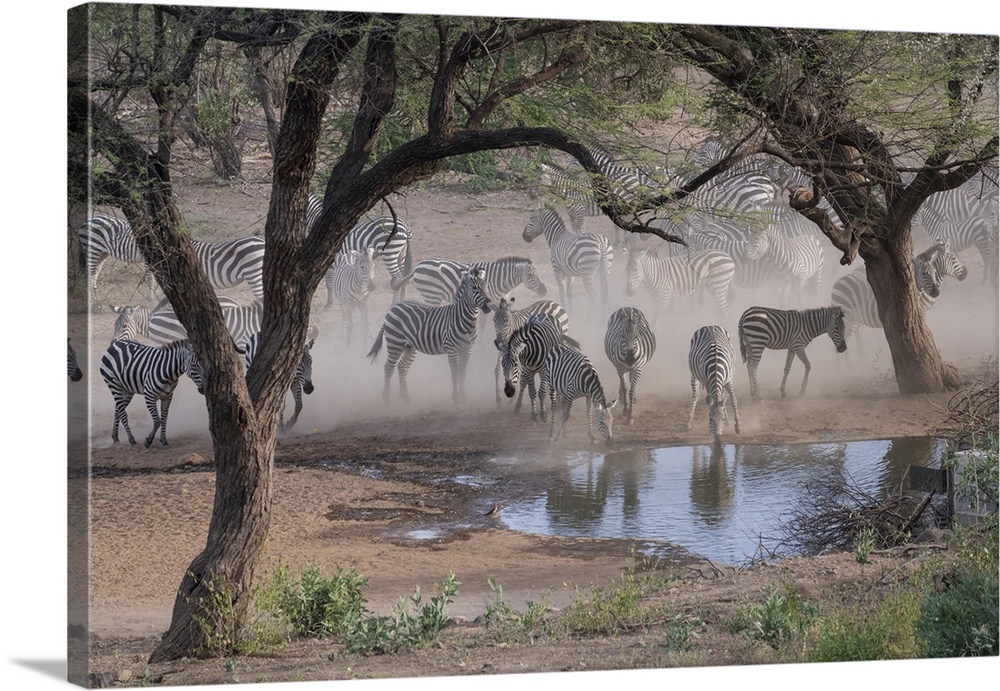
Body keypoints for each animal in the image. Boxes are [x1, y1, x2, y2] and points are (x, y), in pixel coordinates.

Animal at [367, 268, 492, 404]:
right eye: (474, 288)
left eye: (487, 286)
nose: (488, 306)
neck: (464, 320)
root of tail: (394, 308)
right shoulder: (452, 349)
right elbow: (455, 375)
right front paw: (455, 398)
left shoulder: (467, 349)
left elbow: (463, 375)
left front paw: (463, 396)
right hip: (395, 343)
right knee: (389, 368)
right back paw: (387, 399)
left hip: (409, 346)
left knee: (402, 367)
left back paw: (405, 397)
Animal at [400, 256, 547, 306]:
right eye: (530, 275)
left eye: (539, 274)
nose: (545, 291)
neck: (499, 279)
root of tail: (419, 264)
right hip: (432, 294)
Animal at [830, 238, 968, 350]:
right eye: (953, 257)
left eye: (934, 271)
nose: (966, 273)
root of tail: (835, 284)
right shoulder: (921, 311)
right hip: (849, 317)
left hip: (856, 318)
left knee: (858, 333)